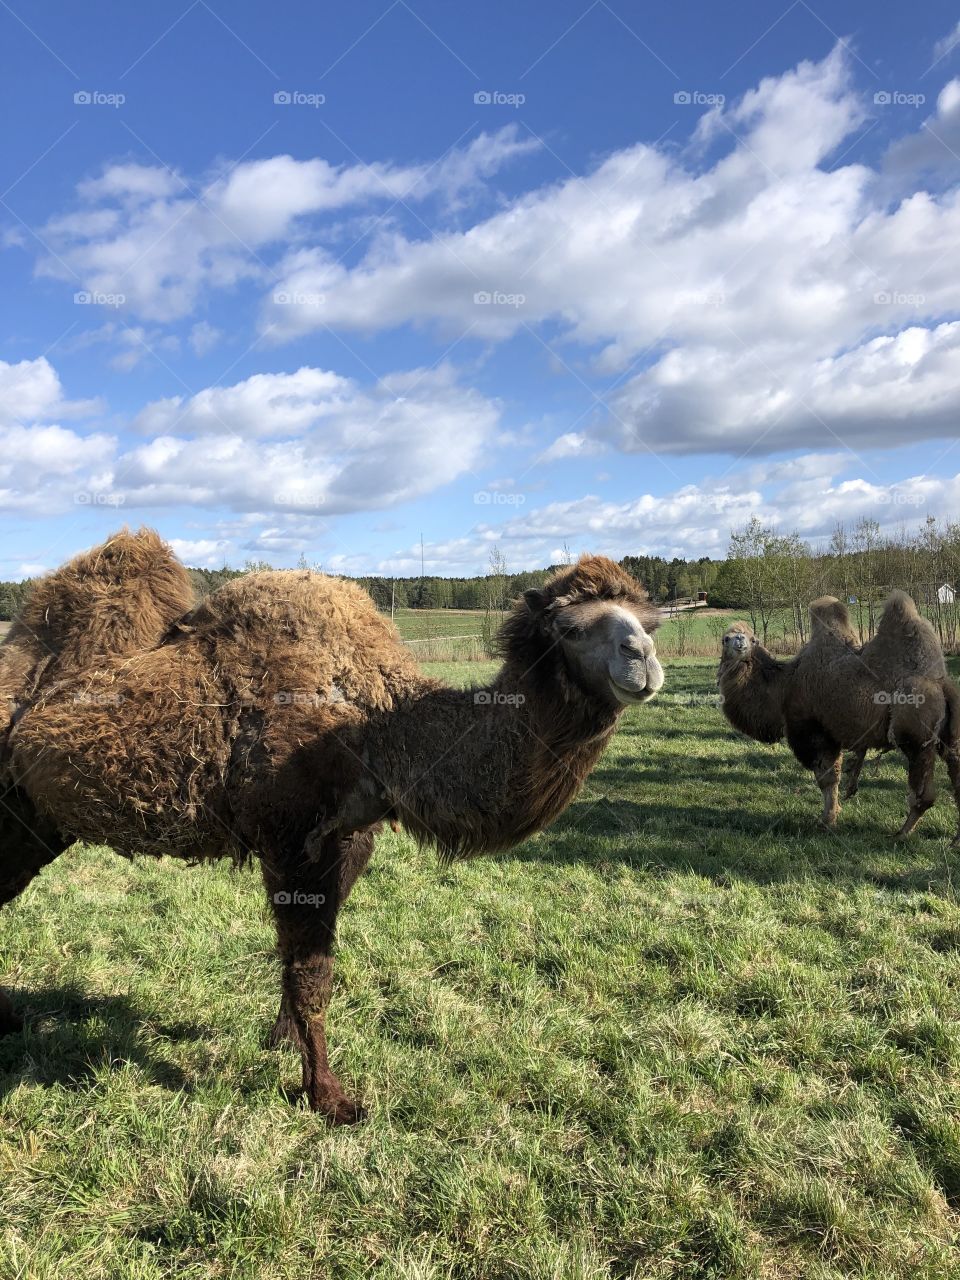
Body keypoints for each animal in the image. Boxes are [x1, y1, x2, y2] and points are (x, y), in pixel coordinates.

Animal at [0, 531, 664, 1123]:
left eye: (649, 623)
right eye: (570, 628)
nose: (644, 662)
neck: (377, 723)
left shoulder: (351, 837)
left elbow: (298, 960)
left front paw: (282, 1042)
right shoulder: (291, 838)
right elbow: (313, 972)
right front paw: (330, 1099)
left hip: (41, 824)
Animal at [716, 592, 960, 842]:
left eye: (752, 638)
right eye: (726, 639)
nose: (740, 642)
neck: (784, 685)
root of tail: (941, 682)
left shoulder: (815, 731)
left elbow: (827, 779)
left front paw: (827, 821)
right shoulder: (831, 734)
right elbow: (833, 777)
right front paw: (832, 816)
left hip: (916, 733)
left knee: (923, 791)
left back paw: (901, 834)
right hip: (949, 735)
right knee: (955, 770)